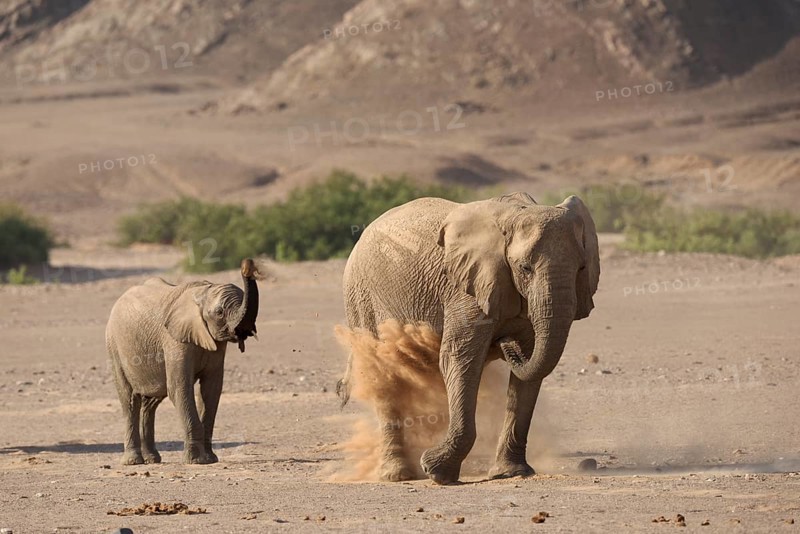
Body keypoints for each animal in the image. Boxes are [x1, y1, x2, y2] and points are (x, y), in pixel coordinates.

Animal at [105, 258, 260, 465]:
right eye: (219, 312)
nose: (247, 265)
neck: (203, 291)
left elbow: (211, 390)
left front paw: (211, 459)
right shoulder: (175, 339)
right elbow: (180, 388)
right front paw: (197, 461)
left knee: (151, 402)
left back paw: (152, 459)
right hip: (114, 346)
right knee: (129, 400)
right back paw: (134, 461)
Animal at [337, 193, 599, 484]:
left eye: (582, 268)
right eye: (525, 268)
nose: (505, 344)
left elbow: (530, 369)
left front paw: (511, 473)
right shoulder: (465, 291)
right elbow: (460, 359)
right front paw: (436, 471)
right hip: (360, 297)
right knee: (382, 374)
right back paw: (398, 475)